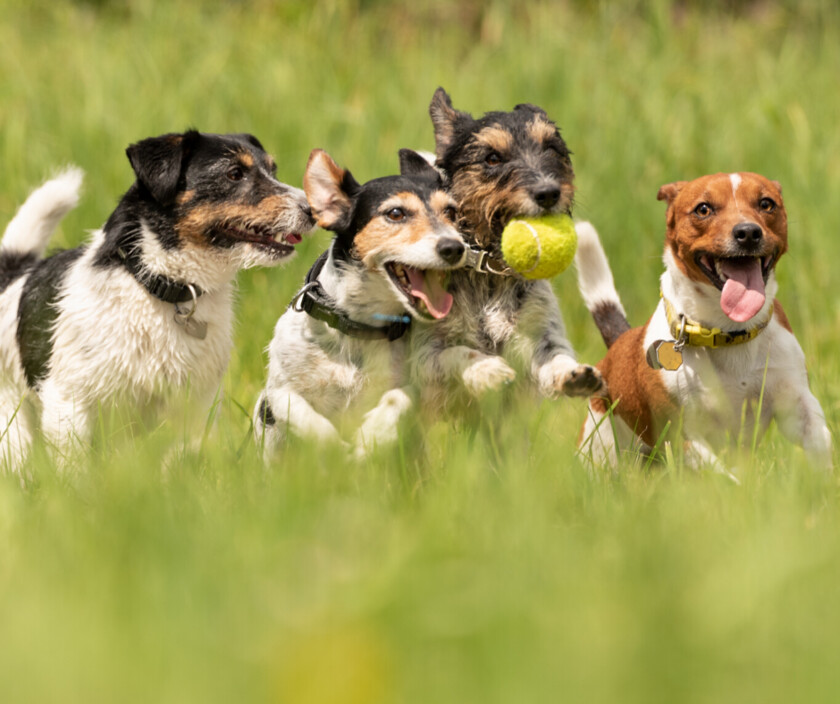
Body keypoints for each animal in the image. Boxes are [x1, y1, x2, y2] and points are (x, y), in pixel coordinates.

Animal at [0, 132, 316, 472]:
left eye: (273, 170)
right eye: (234, 173)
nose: (313, 210)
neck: (161, 288)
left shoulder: (195, 407)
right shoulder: (69, 403)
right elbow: (74, 469)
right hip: (13, 427)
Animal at [253, 148, 470, 456]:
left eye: (451, 212)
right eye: (395, 213)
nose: (454, 247)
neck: (358, 326)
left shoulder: (416, 383)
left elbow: (399, 398)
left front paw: (370, 436)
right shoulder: (277, 392)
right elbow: (299, 411)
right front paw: (333, 447)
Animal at [408, 91, 600, 416]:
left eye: (551, 148)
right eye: (492, 158)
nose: (548, 193)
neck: (490, 274)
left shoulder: (541, 335)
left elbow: (555, 356)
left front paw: (572, 374)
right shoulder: (424, 356)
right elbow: (459, 352)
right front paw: (487, 370)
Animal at [576, 171, 832, 470]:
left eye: (766, 204)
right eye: (703, 209)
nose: (748, 232)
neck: (729, 332)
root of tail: (618, 342)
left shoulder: (795, 403)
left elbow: (819, 440)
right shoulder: (683, 436)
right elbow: (720, 474)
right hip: (601, 446)